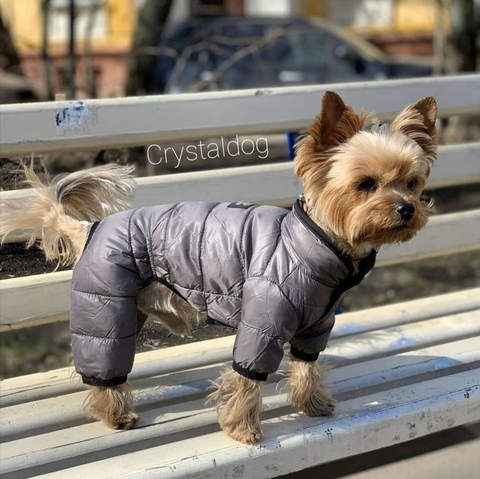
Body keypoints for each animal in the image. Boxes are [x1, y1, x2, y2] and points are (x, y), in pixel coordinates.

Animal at [0, 93, 436, 446]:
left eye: (412, 183)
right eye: (365, 185)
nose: (407, 209)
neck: (315, 241)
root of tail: (91, 227)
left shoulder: (315, 325)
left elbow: (306, 366)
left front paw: (312, 403)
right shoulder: (262, 323)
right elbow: (247, 377)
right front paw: (243, 429)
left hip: (125, 305)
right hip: (103, 305)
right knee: (103, 366)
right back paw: (116, 412)